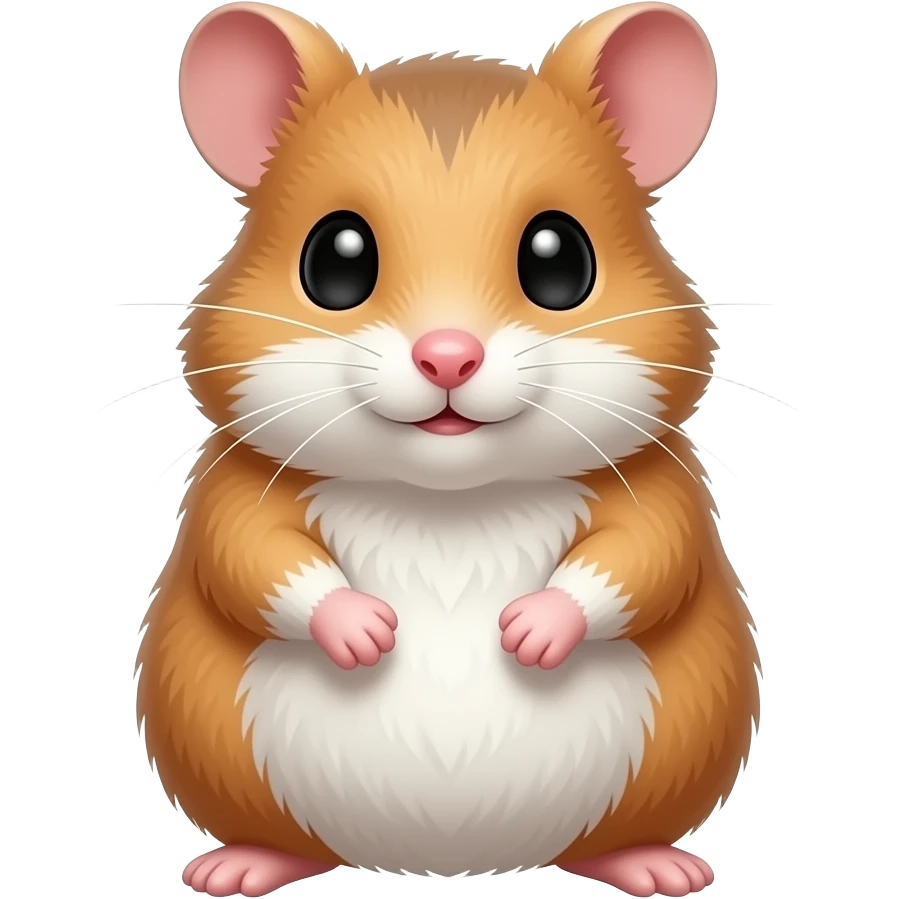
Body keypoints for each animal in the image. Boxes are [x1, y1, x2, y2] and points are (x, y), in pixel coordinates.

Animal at [135, 3, 761, 897]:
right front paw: (366, 633)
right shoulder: (231, 491)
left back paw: (657, 867)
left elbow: (641, 562)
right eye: (335, 258)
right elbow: (253, 561)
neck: (447, 498)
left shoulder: (663, 492)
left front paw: (527, 633)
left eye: (559, 258)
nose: (447, 357)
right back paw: (237, 867)